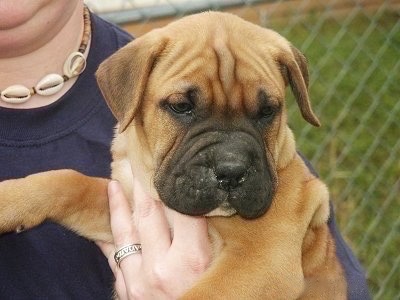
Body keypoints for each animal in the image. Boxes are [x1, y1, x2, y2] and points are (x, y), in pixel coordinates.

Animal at [0, 11, 346, 298]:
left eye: (267, 111)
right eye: (181, 106)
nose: (231, 170)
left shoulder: (262, 260)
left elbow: (201, 295)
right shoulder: (124, 203)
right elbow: (68, 181)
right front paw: (10, 200)